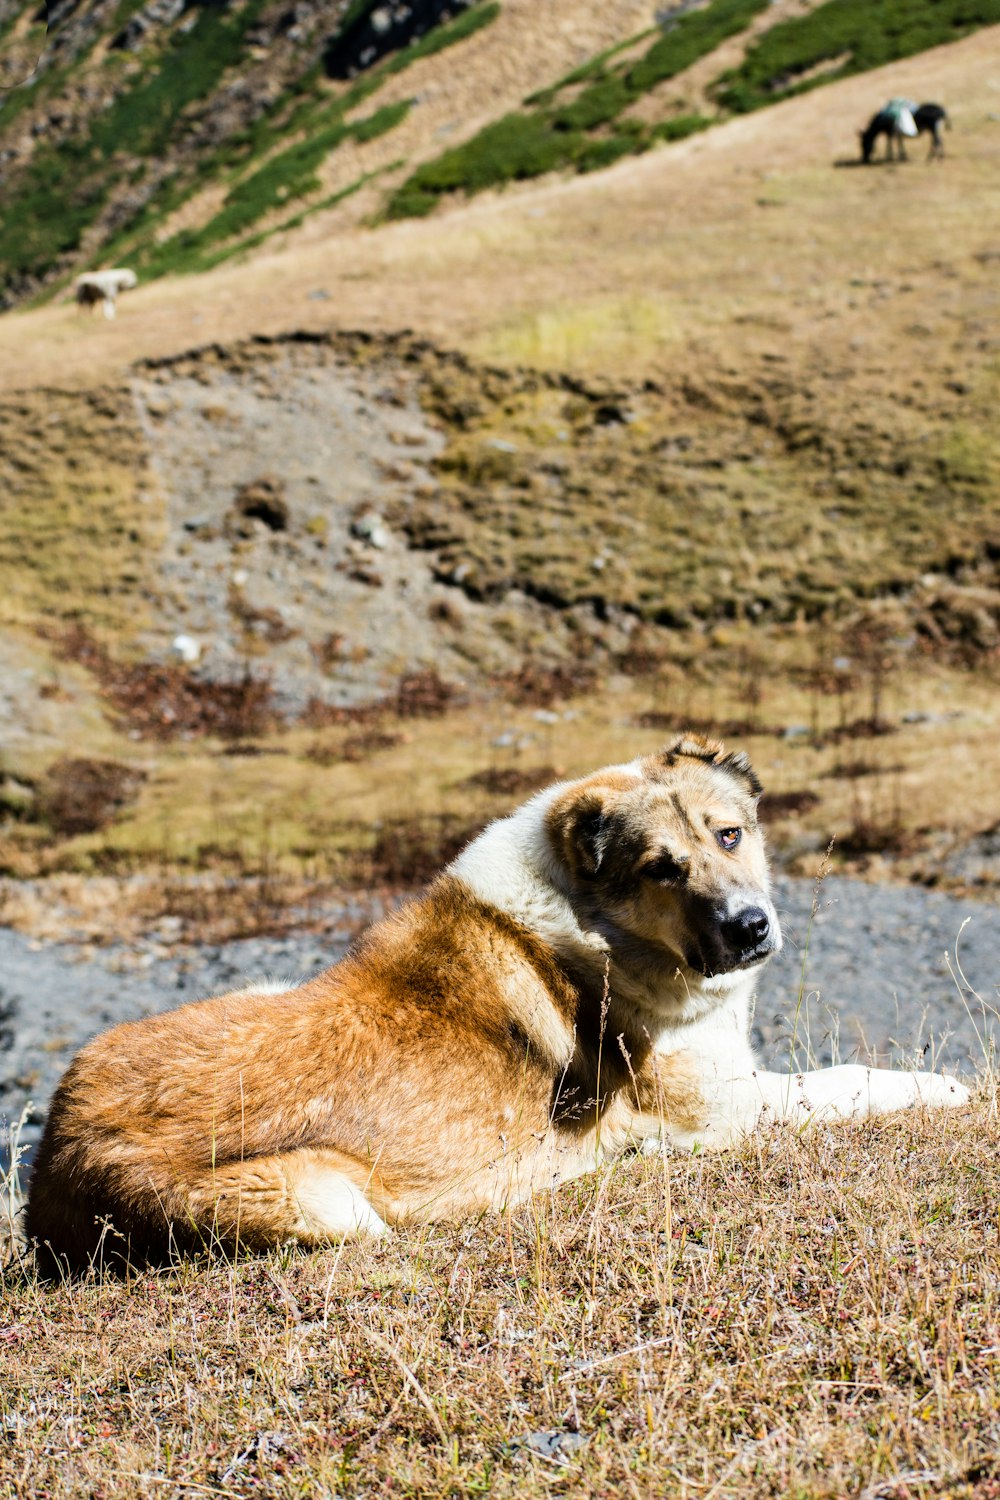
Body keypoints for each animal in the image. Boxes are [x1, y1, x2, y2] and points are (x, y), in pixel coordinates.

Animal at [27, 732, 971, 1272]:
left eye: (730, 835)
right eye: (661, 868)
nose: (750, 928)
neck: (597, 925)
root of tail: (51, 1176)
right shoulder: (725, 1110)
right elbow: (847, 1082)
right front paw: (949, 1089)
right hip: (321, 1204)